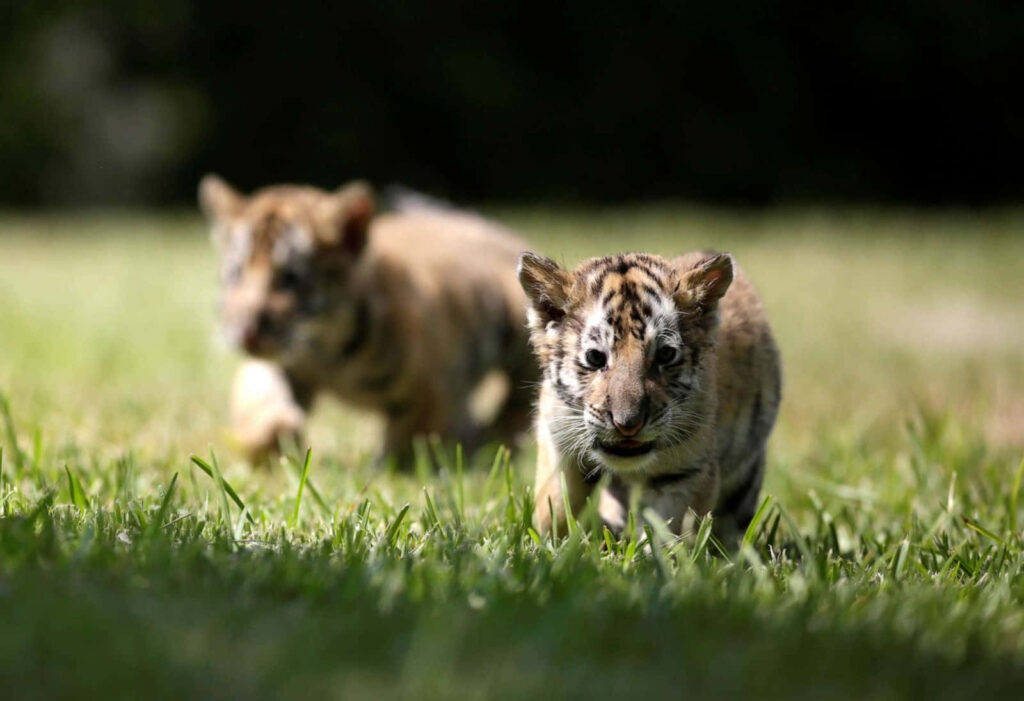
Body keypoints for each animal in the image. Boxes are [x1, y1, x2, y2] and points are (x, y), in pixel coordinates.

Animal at [199, 175, 537, 466]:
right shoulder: (282, 362)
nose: (245, 331)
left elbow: (413, 435)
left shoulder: (433, 385)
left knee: (522, 395)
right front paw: (274, 434)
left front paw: (393, 468)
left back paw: (495, 441)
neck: (326, 347)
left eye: (290, 279)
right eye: (235, 274)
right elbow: (262, 396)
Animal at [517, 249, 781, 543]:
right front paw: (556, 544)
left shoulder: (683, 472)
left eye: (665, 355)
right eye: (595, 358)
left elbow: (668, 531)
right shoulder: (559, 445)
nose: (627, 425)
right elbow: (557, 507)